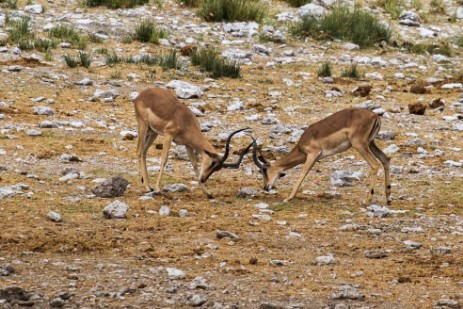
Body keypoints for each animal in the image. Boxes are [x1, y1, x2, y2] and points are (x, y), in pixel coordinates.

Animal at [254, 108, 392, 205]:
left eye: (264, 170)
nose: (265, 187)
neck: (303, 143)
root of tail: (375, 116)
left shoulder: (312, 154)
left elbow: (303, 173)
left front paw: (288, 198)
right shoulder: (315, 158)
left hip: (360, 145)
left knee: (375, 164)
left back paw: (367, 200)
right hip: (371, 143)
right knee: (385, 159)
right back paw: (388, 198)